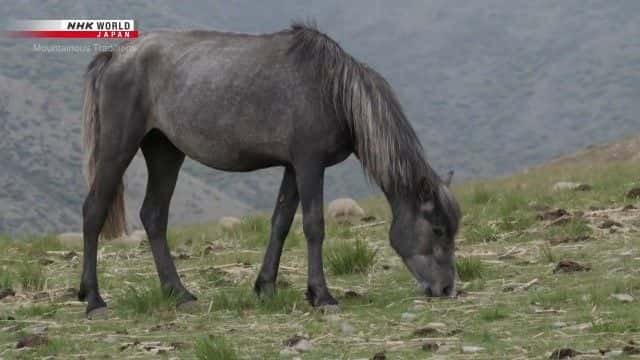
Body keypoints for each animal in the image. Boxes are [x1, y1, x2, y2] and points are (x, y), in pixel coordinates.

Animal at [79, 22, 460, 316]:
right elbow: (313, 226)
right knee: (94, 211)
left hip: (165, 152)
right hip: (118, 149)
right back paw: (94, 300)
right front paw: (322, 296)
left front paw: (266, 286)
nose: (446, 289)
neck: (333, 90)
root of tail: (114, 56)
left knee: (154, 216)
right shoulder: (309, 165)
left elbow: (281, 223)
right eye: (438, 229)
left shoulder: (292, 168)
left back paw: (180, 293)